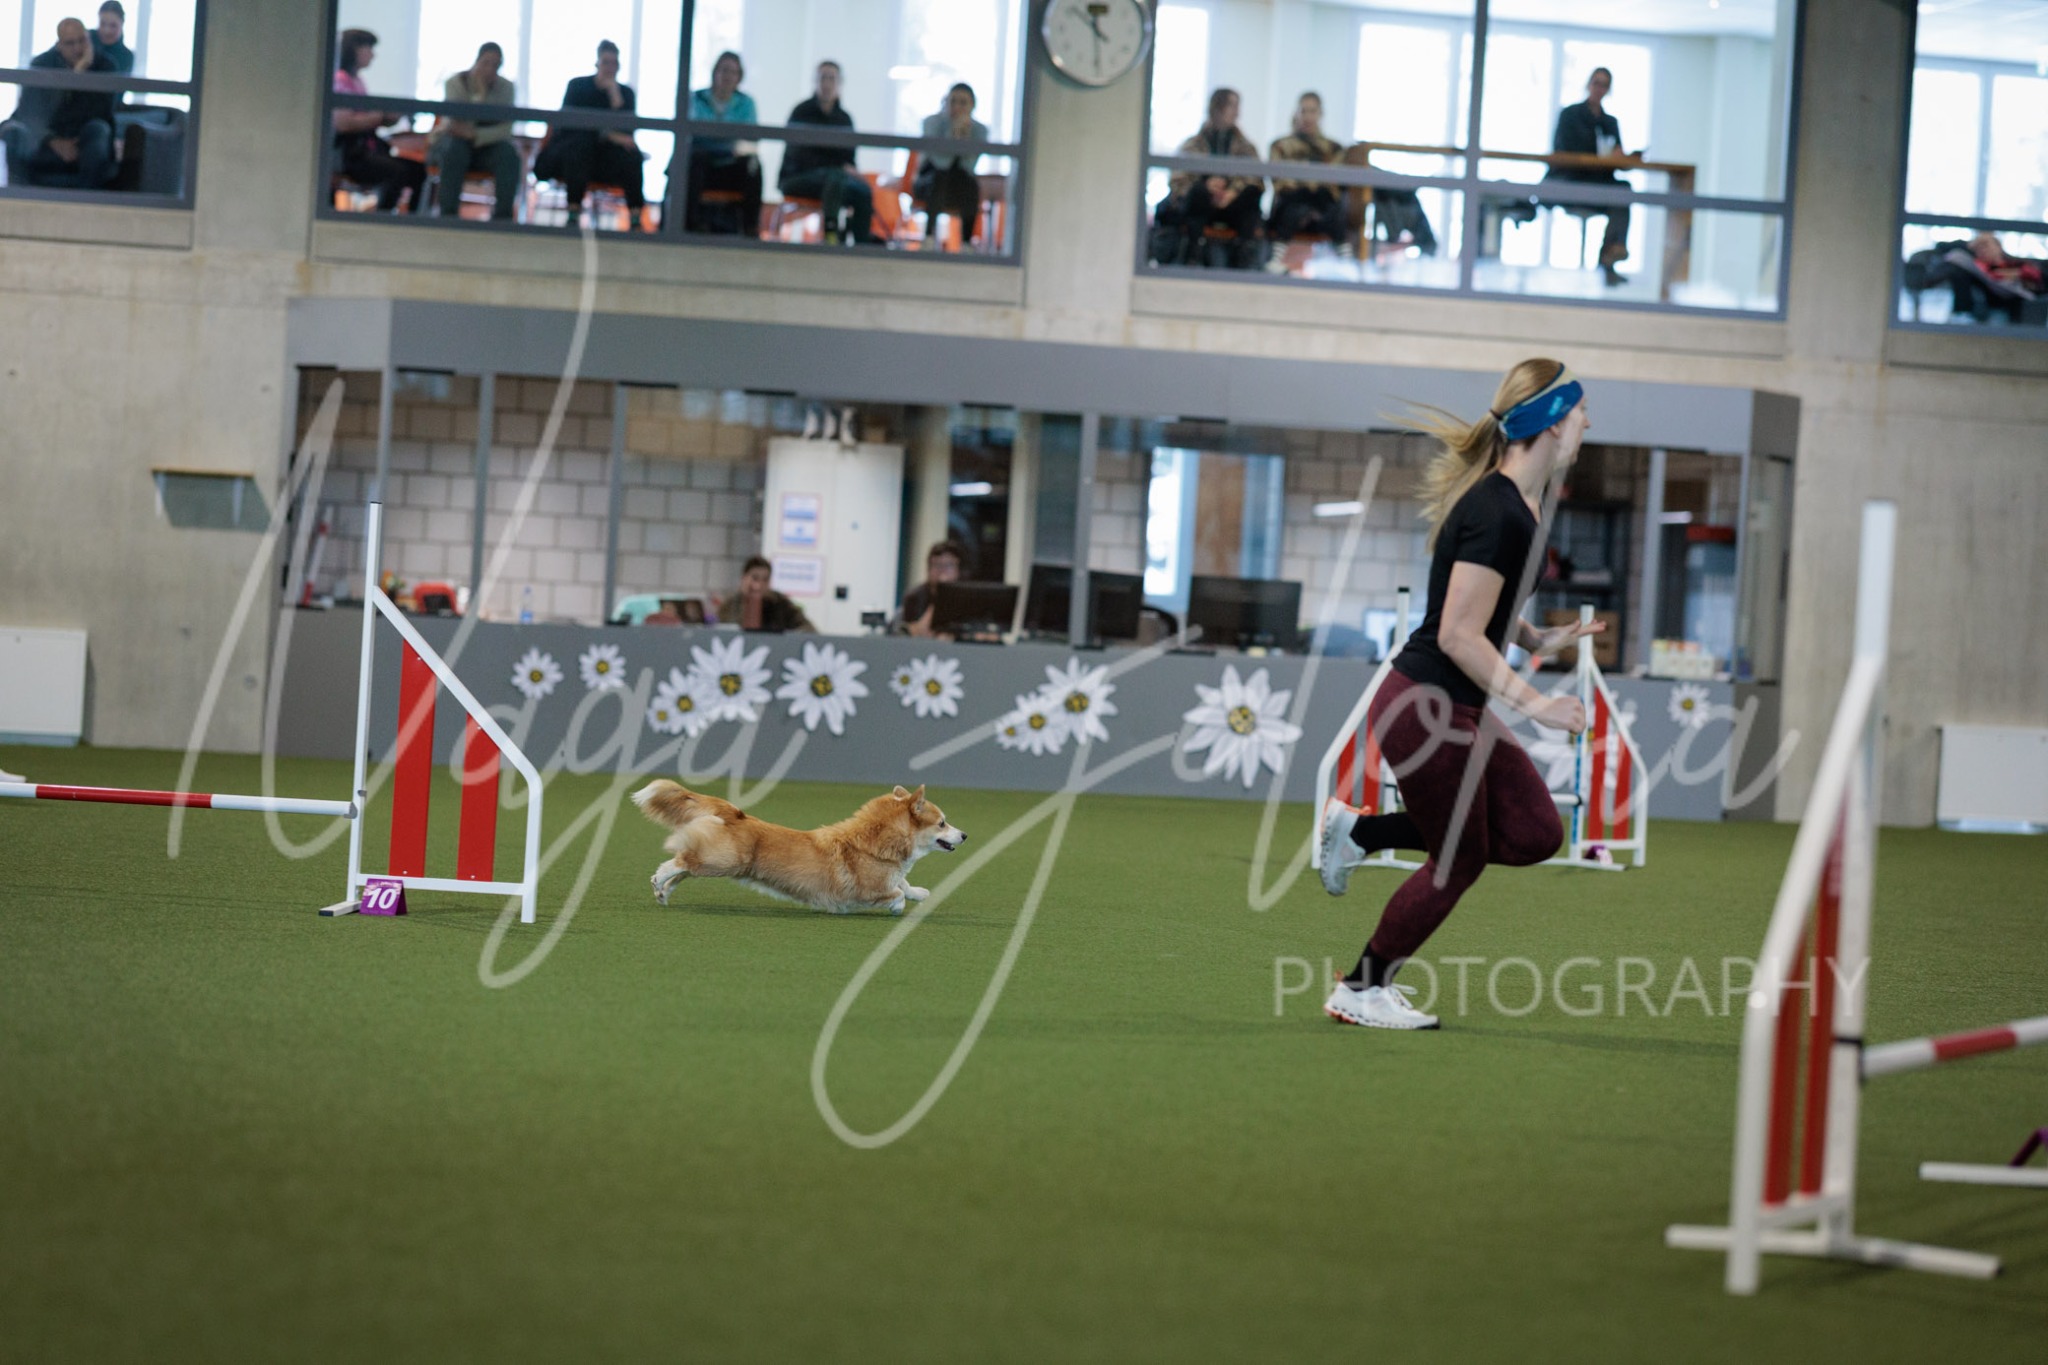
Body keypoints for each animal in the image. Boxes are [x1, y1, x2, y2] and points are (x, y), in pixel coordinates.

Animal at [631, 780, 966, 914]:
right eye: (942, 823)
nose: (964, 836)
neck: (877, 841)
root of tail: (736, 813)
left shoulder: (890, 877)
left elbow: (905, 885)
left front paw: (921, 893)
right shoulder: (869, 889)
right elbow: (896, 893)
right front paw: (898, 907)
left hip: (715, 861)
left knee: (683, 868)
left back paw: (663, 893)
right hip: (724, 861)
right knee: (680, 863)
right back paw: (658, 881)